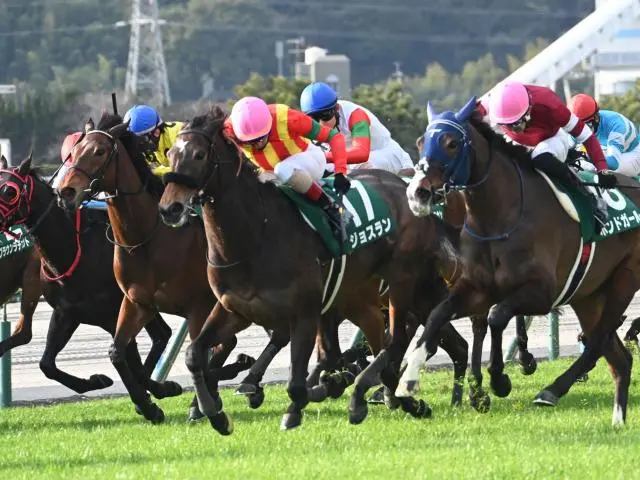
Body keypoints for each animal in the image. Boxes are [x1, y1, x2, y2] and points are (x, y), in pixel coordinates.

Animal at [0, 154, 185, 400]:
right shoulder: (67, 313)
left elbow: (128, 358)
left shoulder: (115, 313)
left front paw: (155, 390)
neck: (74, 248)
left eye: (9, 191)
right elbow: (46, 364)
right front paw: (99, 380)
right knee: (161, 334)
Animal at [401, 97, 640, 425]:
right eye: (420, 141)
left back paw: (551, 391)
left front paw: (499, 380)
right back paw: (617, 421)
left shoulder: (543, 292)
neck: (499, 217)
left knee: (598, 342)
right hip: (588, 295)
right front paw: (408, 381)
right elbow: (440, 315)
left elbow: (497, 316)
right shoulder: (476, 288)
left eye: (451, 143)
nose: (418, 193)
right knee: (619, 358)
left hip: (625, 279)